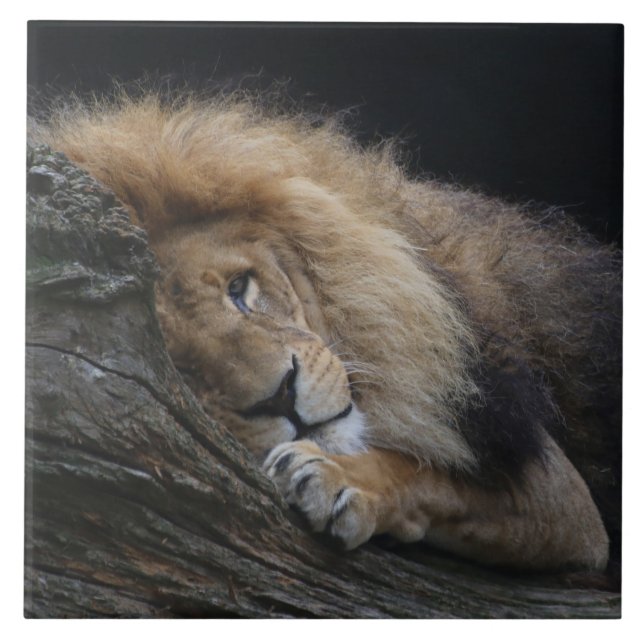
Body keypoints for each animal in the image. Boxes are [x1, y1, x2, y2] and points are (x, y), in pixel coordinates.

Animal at [32, 91, 621, 572]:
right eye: (182, 367)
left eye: (240, 288)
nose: (282, 397)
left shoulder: (559, 492)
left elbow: (426, 473)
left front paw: (337, 479)